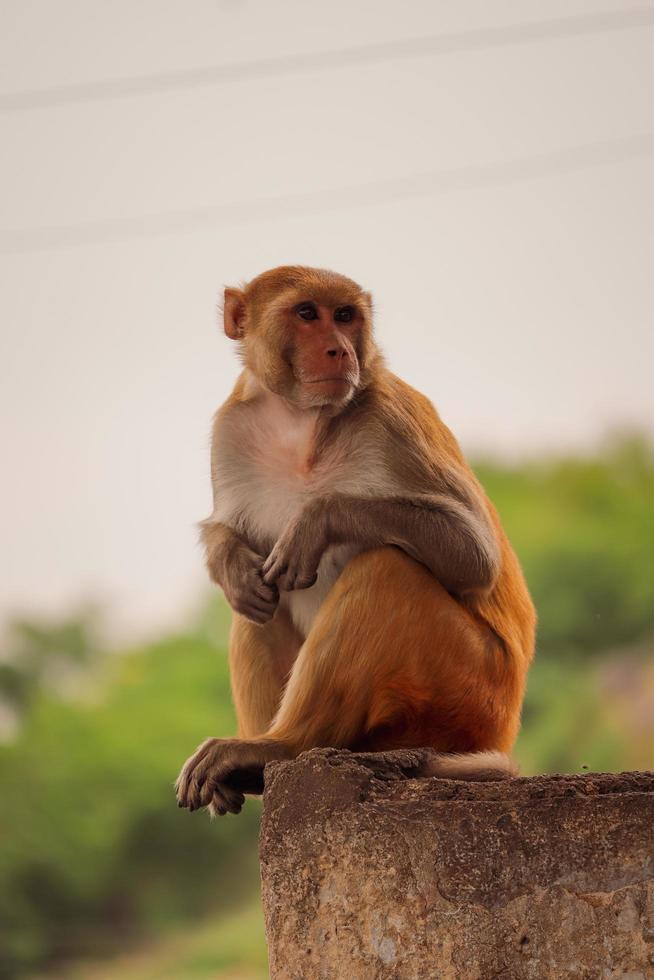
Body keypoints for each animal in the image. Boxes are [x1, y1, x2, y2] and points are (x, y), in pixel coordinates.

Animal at [176, 264, 540, 816]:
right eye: (308, 313)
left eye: (345, 316)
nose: (339, 350)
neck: (301, 420)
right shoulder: (231, 428)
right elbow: (233, 539)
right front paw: (229, 561)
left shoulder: (392, 419)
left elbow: (474, 555)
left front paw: (317, 520)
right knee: (259, 601)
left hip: (472, 691)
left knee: (384, 569)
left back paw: (280, 746)